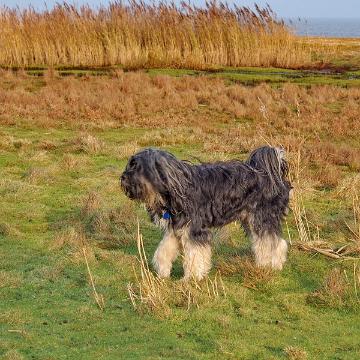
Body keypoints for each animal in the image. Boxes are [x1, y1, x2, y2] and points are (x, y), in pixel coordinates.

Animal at [121, 146, 292, 282]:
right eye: (130, 164)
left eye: (137, 167)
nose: (122, 178)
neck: (175, 188)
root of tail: (270, 174)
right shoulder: (176, 229)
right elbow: (164, 251)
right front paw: (162, 271)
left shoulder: (195, 229)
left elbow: (194, 255)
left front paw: (191, 278)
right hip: (250, 219)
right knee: (268, 242)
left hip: (262, 217)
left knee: (273, 242)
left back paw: (272, 264)